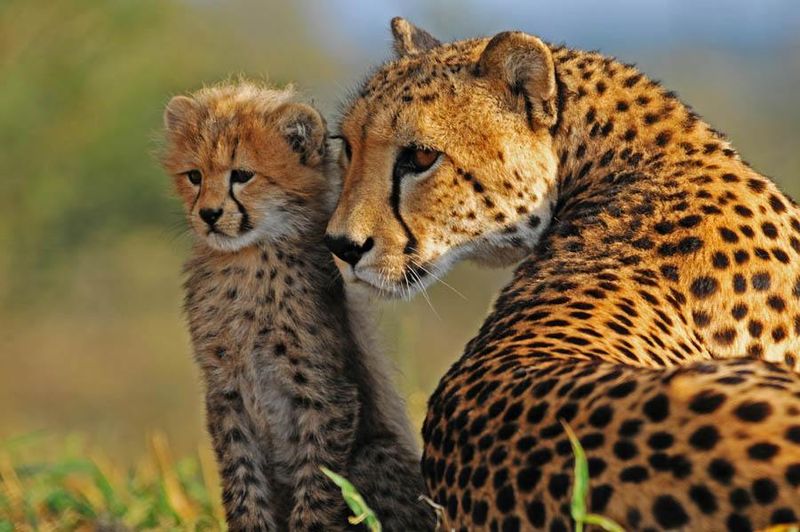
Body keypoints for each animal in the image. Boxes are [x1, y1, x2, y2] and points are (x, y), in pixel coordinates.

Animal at [161, 81, 435, 531]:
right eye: (194, 176)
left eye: (242, 175)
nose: (209, 214)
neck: (248, 260)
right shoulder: (226, 391)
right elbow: (242, 479)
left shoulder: (327, 393)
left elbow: (317, 484)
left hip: (374, 455)